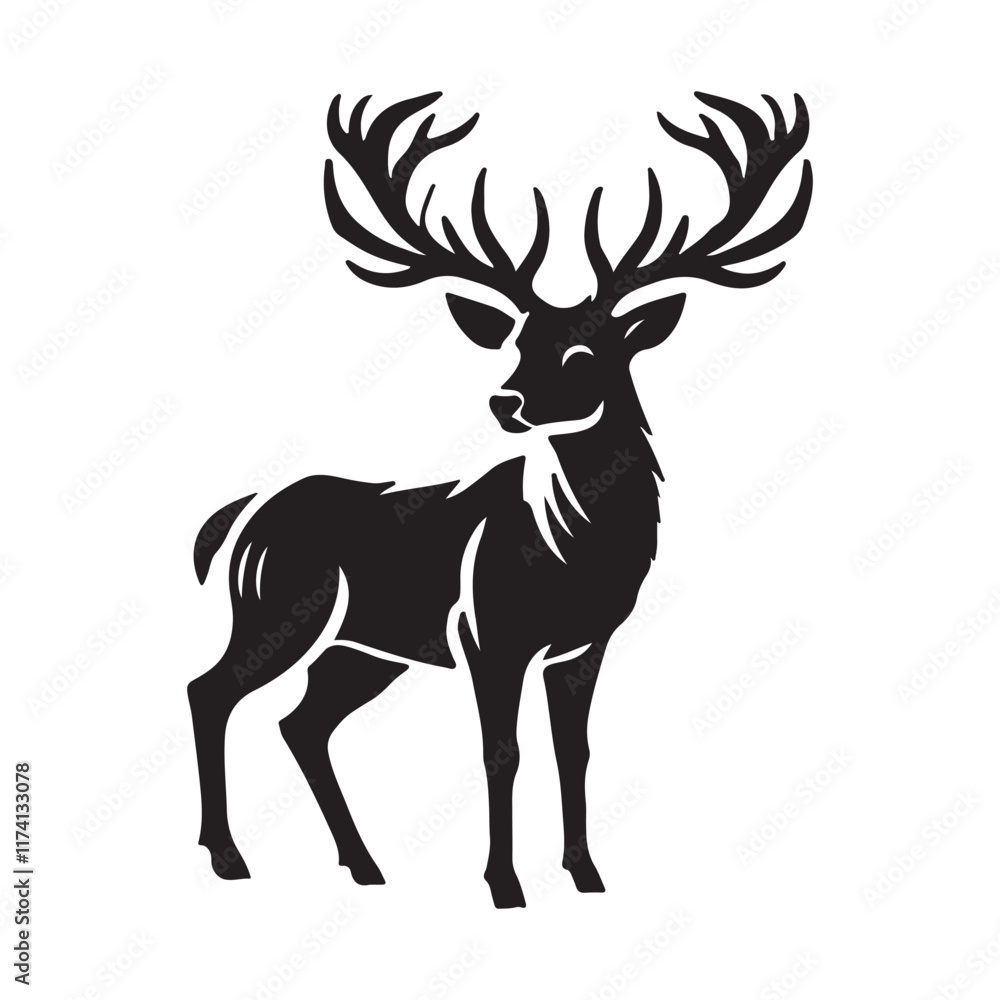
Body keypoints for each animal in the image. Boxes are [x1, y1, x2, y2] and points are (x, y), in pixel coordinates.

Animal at [187, 90, 812, 908]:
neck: (571, 555)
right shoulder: (490, 633)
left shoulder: (584, 643)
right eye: (515, 343)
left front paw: (587, 875)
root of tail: (241, 516)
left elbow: (575, 750)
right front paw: (504, 884)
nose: (505, 401)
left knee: (304, 723)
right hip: (277, 610)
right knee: (210, 691)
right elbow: (502, 752)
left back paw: (364, 865)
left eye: (585, 353)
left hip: (363, 647)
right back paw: (229, 856)